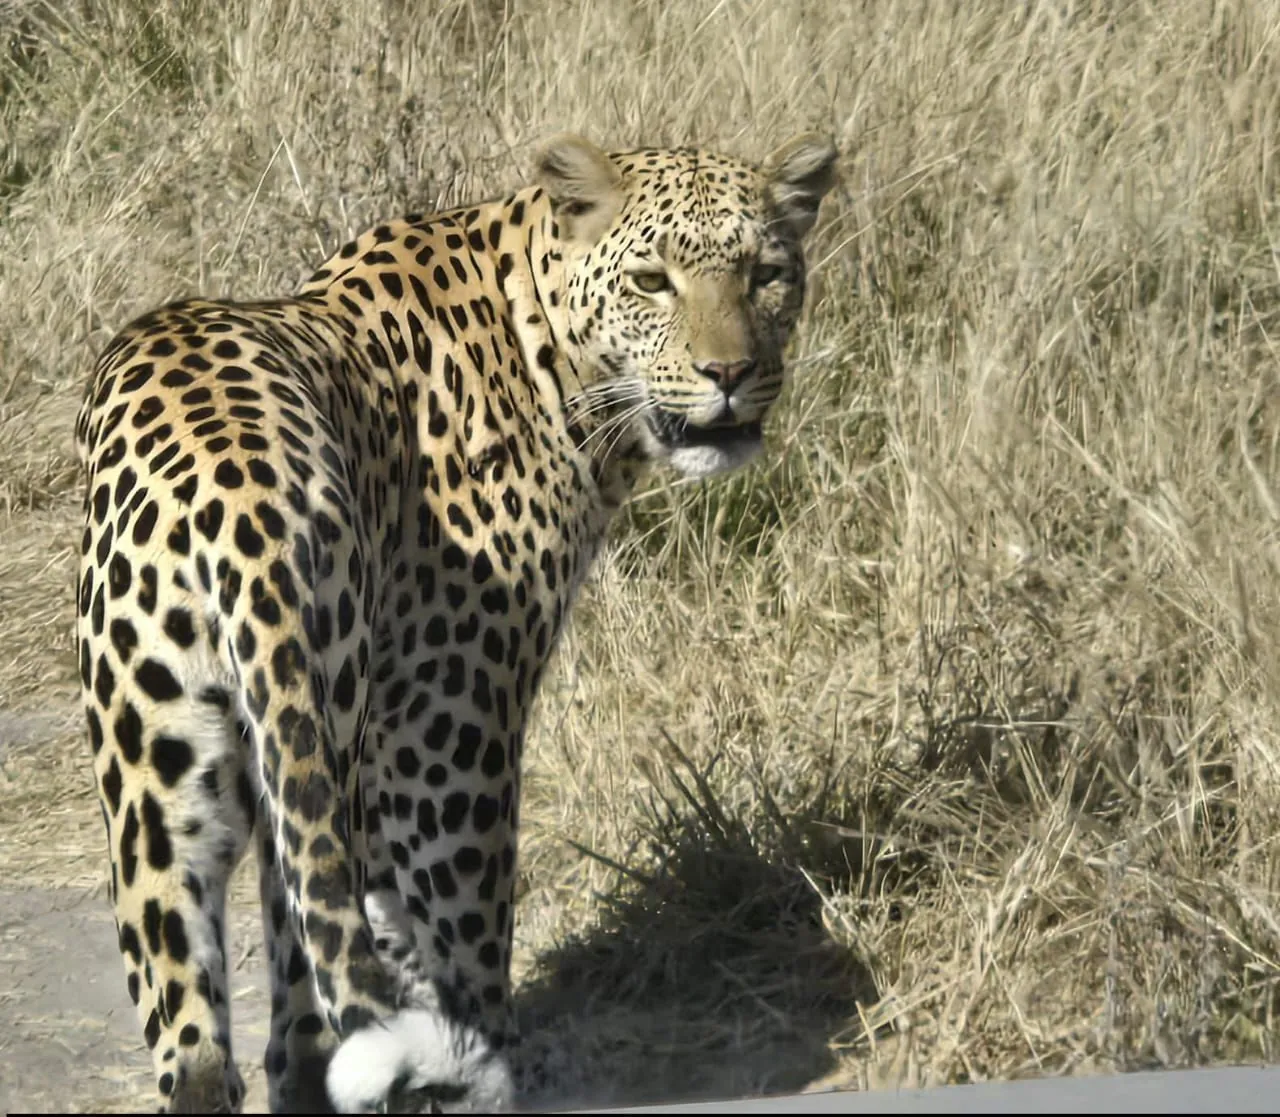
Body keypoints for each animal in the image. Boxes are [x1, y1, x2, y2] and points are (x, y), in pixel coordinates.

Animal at [73, 130, 838, 1114]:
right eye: (652, 280)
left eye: (766, 273)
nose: (731, 375)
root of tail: (225, 484)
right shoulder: (449, 713)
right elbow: (466, 923)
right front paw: (484, 1061)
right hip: (333, 724)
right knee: (308, 985)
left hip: (164, 774)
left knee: (205, 1037)